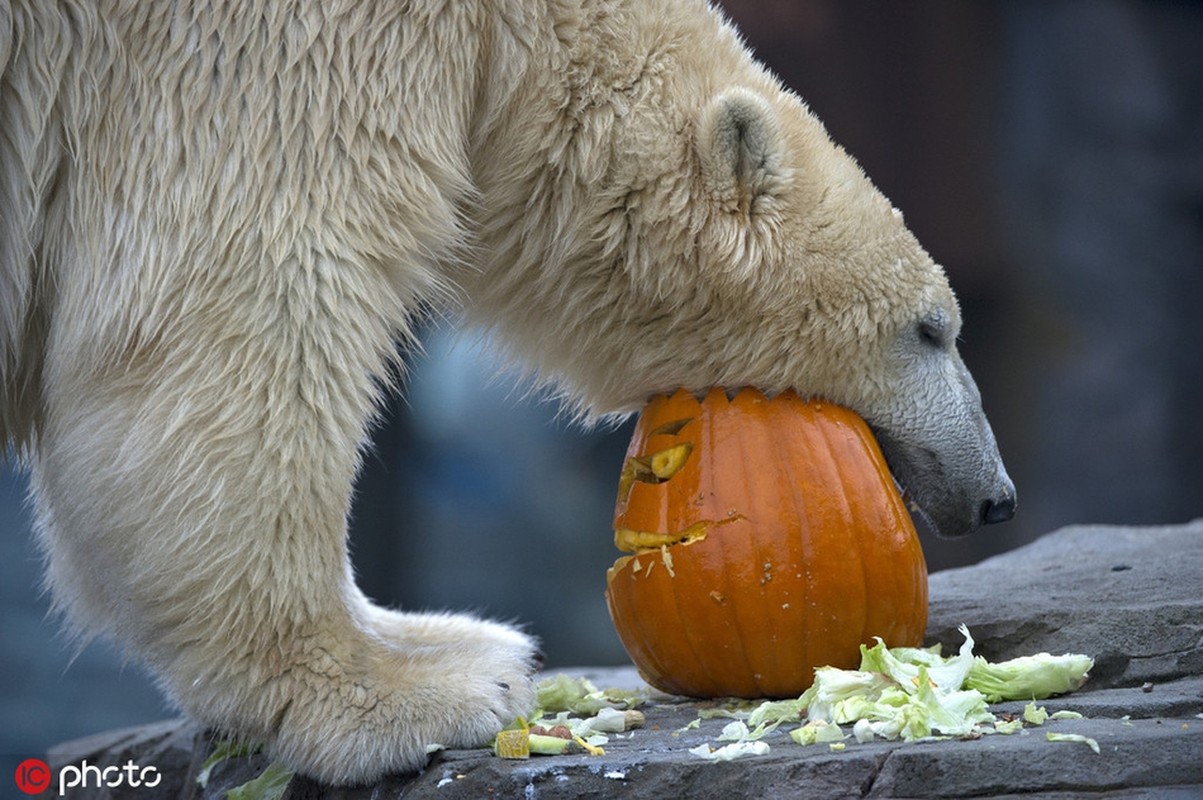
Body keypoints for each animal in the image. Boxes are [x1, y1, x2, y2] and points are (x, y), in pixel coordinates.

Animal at [2, 0, 1015, 784]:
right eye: (930, 329)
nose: (994, 497)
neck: (516, 26)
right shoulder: (269, 57)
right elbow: (238, 309)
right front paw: (426, 688)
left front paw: (430, 636)